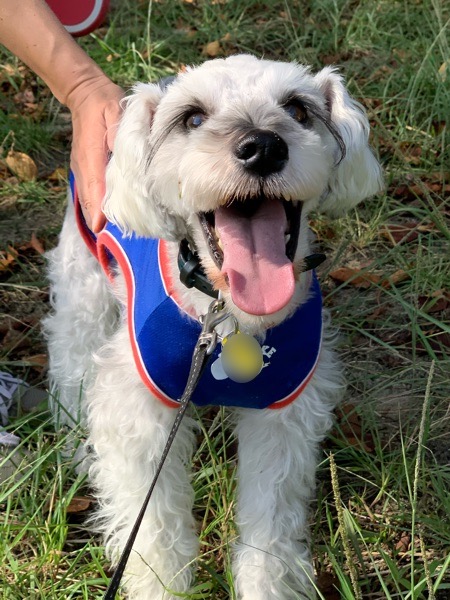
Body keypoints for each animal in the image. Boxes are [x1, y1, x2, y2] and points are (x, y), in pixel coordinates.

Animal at [44, 55, 383, 599]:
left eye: (297, 108)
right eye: (194, 118)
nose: (262, 147)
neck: (229, 319)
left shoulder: (283, 416)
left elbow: (270, 529)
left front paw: (267, 586)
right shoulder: (140, 418)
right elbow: (155, 533)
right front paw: (162, 588)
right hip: (84, 286)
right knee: (71, 362)